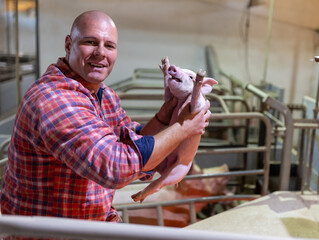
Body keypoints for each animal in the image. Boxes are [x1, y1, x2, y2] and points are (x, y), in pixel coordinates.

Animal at [131, 56, 219, 202]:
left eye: (190, 76)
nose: (174, 67)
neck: (181, 100)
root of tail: (164, 168)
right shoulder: (169, 101)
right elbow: (167, 92)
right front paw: (165, 65)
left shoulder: (197, 108)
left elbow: (195, 101)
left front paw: (200, 77)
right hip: (158, 160)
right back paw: (136, 196)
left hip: (178, 170)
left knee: (158, 184)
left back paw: (136, 197)